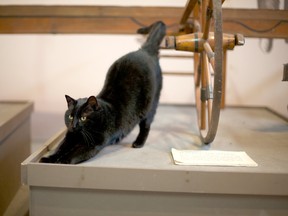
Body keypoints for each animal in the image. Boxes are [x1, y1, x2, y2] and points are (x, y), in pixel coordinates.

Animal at [40, 21, 166, 164]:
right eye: (70, 116)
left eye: (83, 118)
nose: (74, 125)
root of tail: (145, 50)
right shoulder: (69, 136)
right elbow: (61, 148)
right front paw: (48, 158)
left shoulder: (93, 145)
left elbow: (74, 154)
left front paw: (63, 160)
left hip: (150, 106)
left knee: (146, 125)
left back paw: (138, 143)